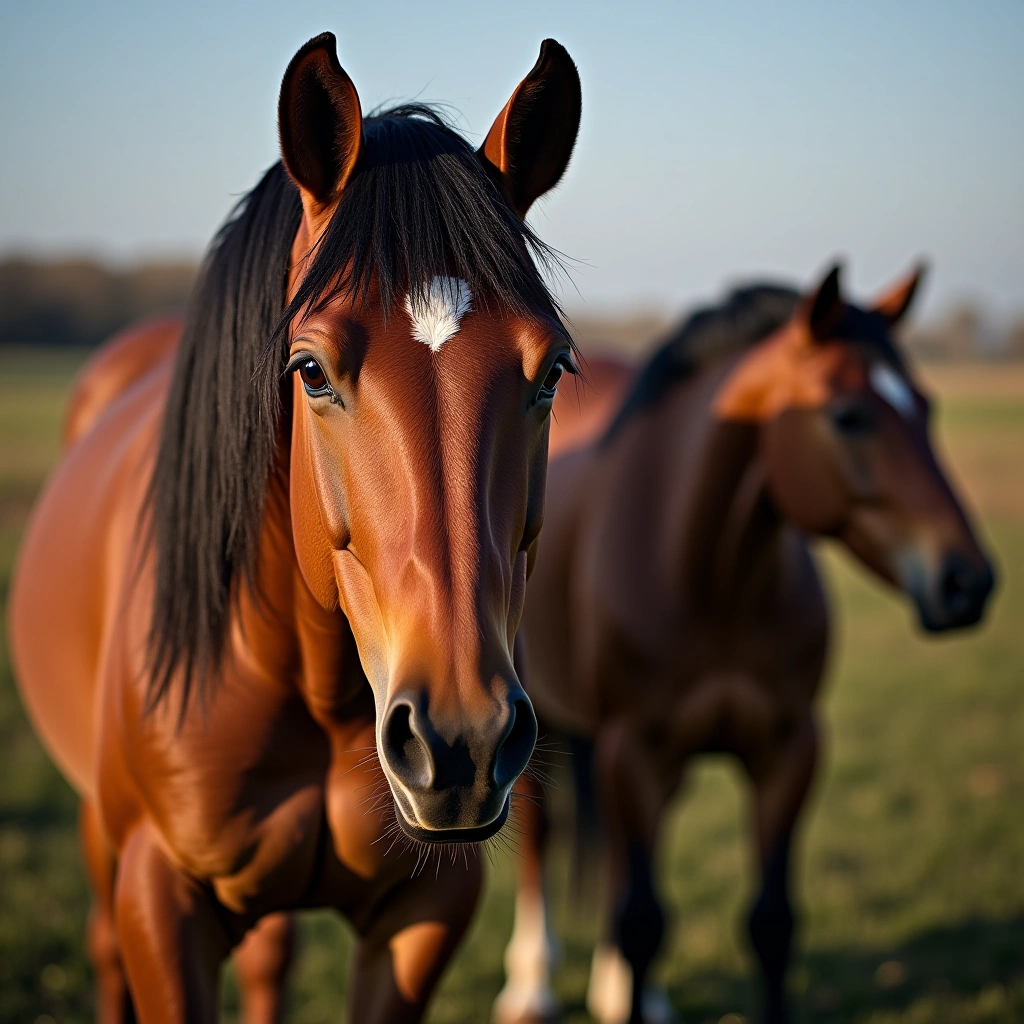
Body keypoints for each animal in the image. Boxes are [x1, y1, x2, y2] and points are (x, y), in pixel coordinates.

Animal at [493, 264, 995, 1024]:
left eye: (927, 408)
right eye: (849, 415)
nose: (969, 580)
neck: (710, 573)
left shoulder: (787, 750)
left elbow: (771, 922)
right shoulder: (633, 747)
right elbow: (644, 921)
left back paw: (621, 994)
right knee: (541, 833)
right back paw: (531, 985)